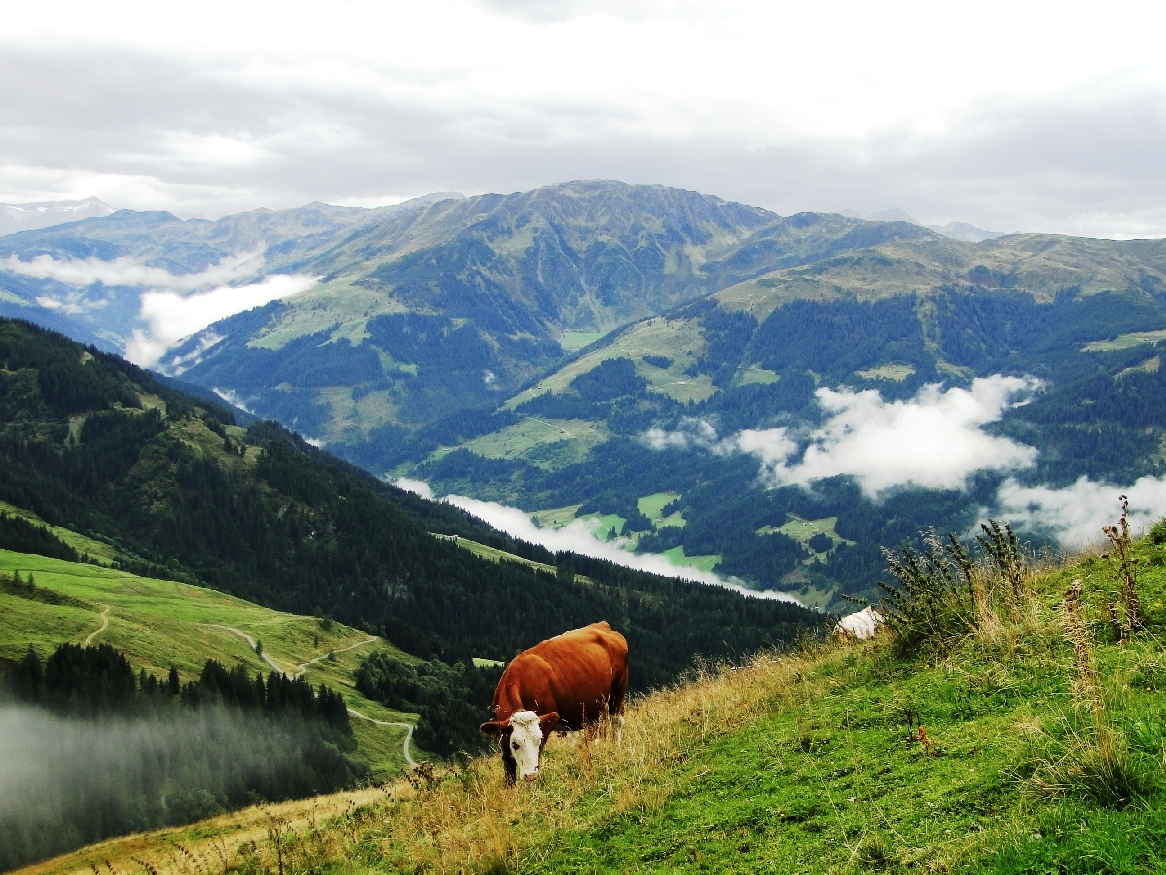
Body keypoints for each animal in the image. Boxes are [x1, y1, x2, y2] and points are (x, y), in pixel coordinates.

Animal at [478, 625, 629, 788]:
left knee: (617, 722)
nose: (531, 776)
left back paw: (615, 749)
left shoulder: (543, 728)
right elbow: (509, 773)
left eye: (538, 741)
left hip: (617, 691)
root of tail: (602, 625)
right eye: (515, 744)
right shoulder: (503, 737)